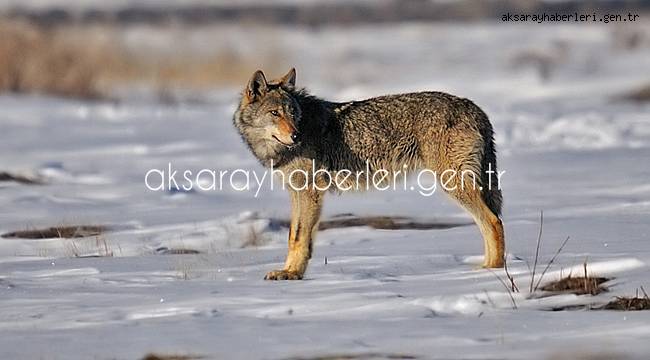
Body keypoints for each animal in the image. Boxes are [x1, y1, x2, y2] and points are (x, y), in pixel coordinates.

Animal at [230, 68, 504, 282]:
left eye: (292, 113)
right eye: (275, 113)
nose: (296, 135)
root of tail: (474, 107)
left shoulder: (309, 191)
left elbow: (298, 238)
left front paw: (292, 274)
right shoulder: (297, 191)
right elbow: (293, 237)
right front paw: (289, 272)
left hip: (453, 183)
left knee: (493, 221)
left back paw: (491, 271)